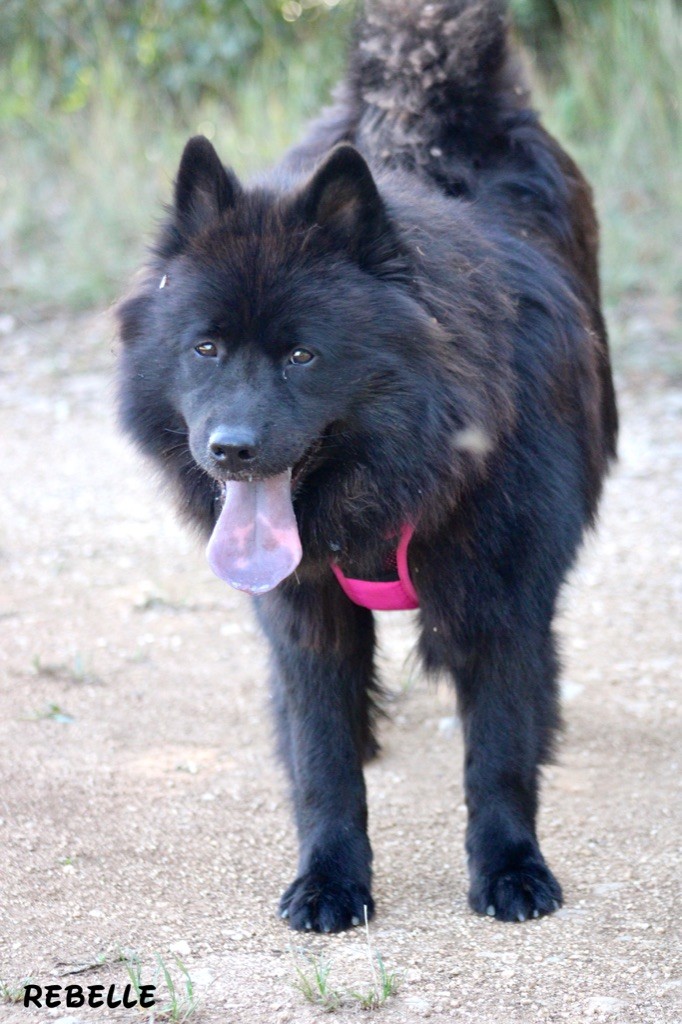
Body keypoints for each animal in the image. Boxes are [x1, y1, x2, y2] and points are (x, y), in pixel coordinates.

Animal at [116, 0, 614, 933]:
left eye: (303, 356)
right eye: (205, 347)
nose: (230, 448)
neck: (408, 475)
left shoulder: (504, 600)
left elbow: (499, 754)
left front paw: (511, 868)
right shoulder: (305, 615)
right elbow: (323, 761)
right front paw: (330, 878)